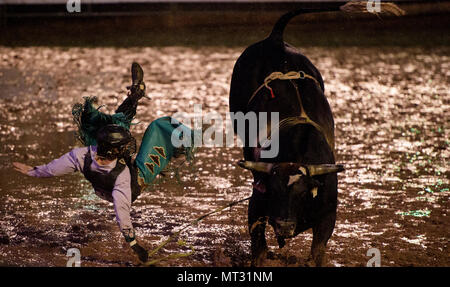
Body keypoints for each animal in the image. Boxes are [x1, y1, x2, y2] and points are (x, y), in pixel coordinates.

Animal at [229, 7, 344, 268]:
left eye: (301, 193)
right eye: (274, 190)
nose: (284, 226)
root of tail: (276, 39)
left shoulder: (328, 213)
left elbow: (318, 251)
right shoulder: (257, 205)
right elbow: (258, 248)